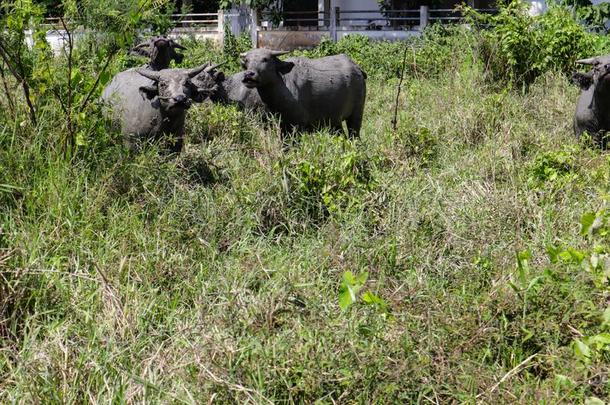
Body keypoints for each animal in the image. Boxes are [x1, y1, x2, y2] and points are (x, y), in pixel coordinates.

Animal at [236, 48, 366, 137]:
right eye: (247, 61)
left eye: (265, 59)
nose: (248, 74)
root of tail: (358, 69)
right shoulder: (282, 125)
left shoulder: (296, 126)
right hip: (334, 120)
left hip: (356, 114)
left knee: (354, 134)